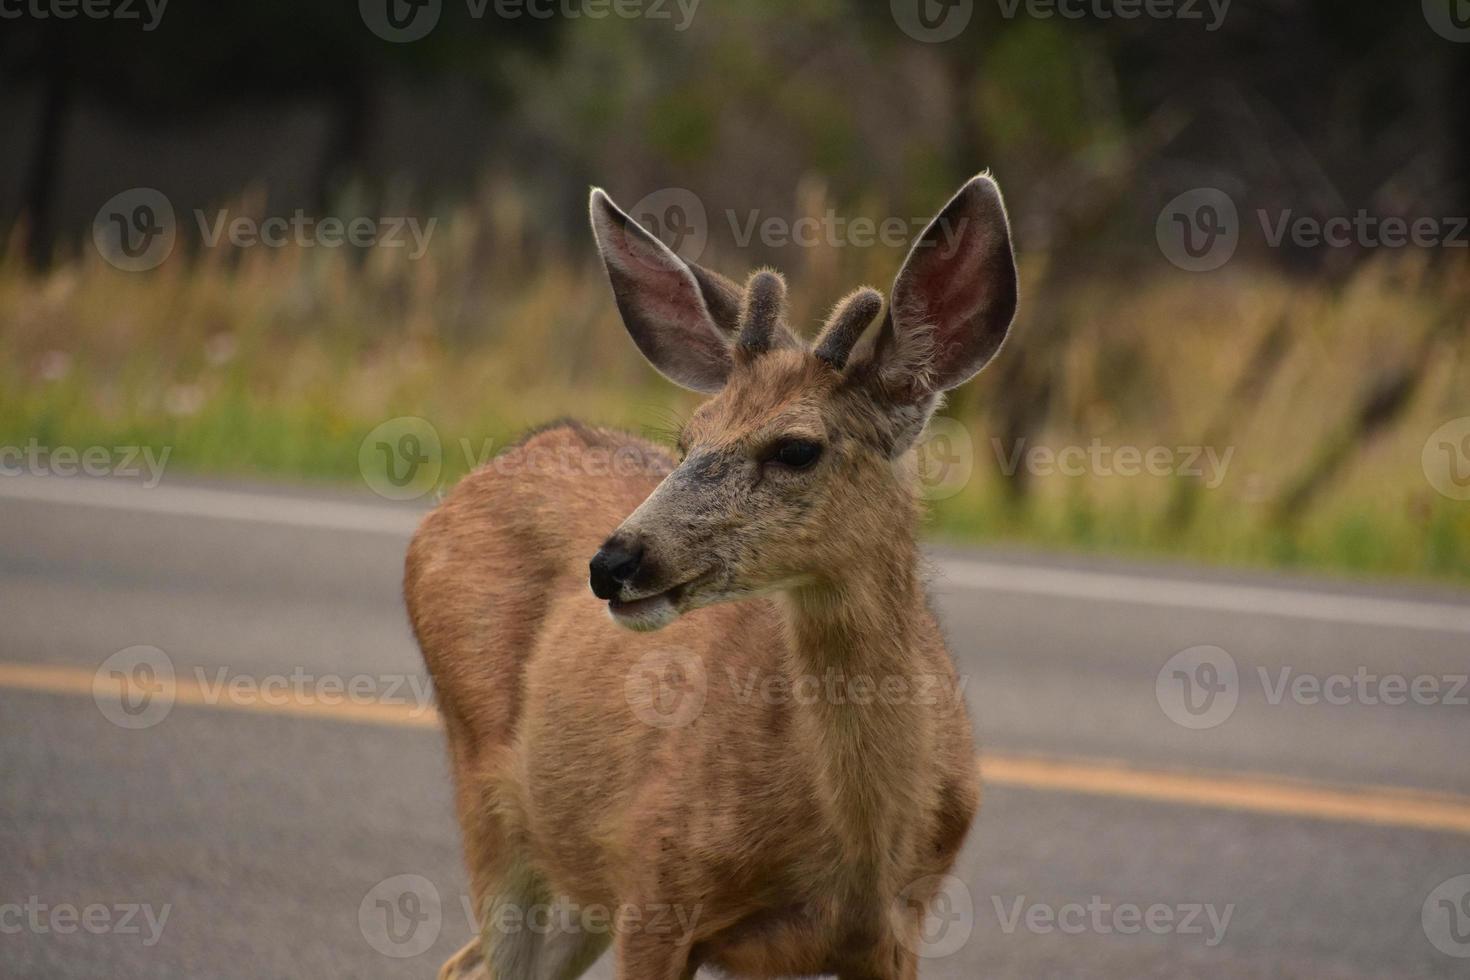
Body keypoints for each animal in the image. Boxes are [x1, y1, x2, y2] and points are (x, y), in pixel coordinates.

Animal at [408, 176, 1017, 980]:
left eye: (796, 448)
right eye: (686, 440)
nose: (613, 563)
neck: (854, 843)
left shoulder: (897, 930)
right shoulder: (653, 879)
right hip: (490, 791)